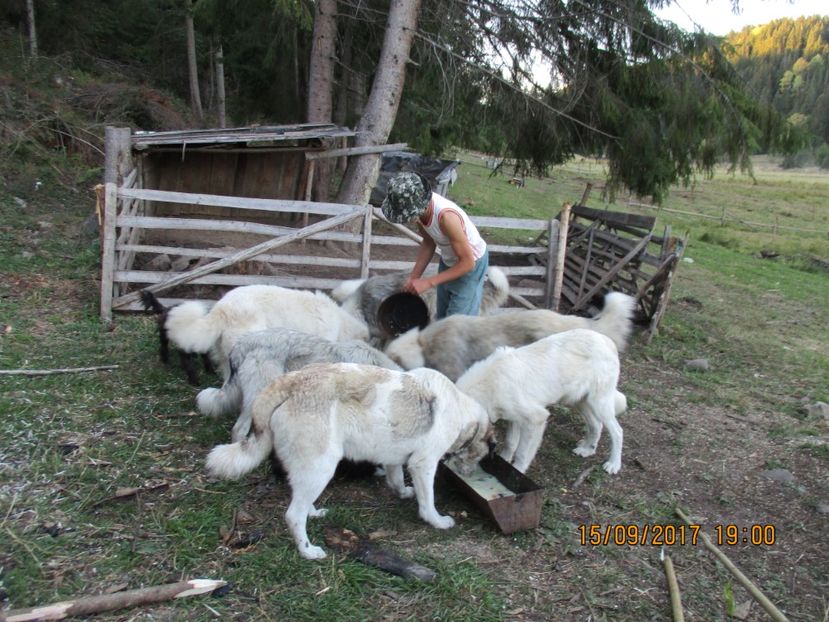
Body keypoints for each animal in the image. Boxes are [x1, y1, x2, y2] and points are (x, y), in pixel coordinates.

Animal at [207, 364, 492, 564]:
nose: (469, 473)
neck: (461, 409)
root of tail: (290, 380)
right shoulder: (424, 464)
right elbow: (428, 502)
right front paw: (437, 521)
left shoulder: (394, 457)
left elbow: (396, 479)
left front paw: (403, 493)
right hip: (322, 466)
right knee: (293, 515)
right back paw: (308, 551)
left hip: (312, 469)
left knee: (301, 500)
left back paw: (314, 512)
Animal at [456, 330, 624, 476]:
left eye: (460, 456)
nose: (462, 473)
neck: (490, 385)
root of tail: (608, 340)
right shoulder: (514, 419)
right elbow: (510, 443)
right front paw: (504, 461)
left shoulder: (537, 419)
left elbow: (522, 453)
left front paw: (517, 471)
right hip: (579, 402)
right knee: (597, 425)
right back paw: (587, 450)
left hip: (599, 404)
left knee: (617, 431)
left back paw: (613, 464)